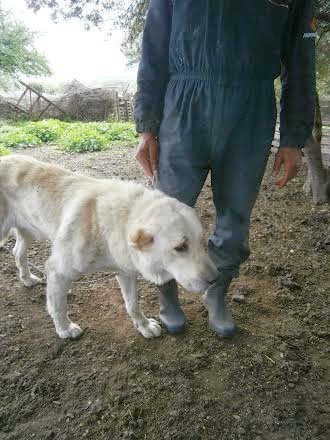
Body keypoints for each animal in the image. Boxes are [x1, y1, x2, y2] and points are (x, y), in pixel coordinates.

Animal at [0, 156, 218, 338]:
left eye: (201, 241)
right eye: (180, 247)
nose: (215, 279)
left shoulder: (126, 272)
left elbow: (132, 305)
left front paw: (144, 326)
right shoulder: (57, 271)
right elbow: (57, 306)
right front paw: (64, 329)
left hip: (28, 231)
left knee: (18, 252)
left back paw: (27, 279)